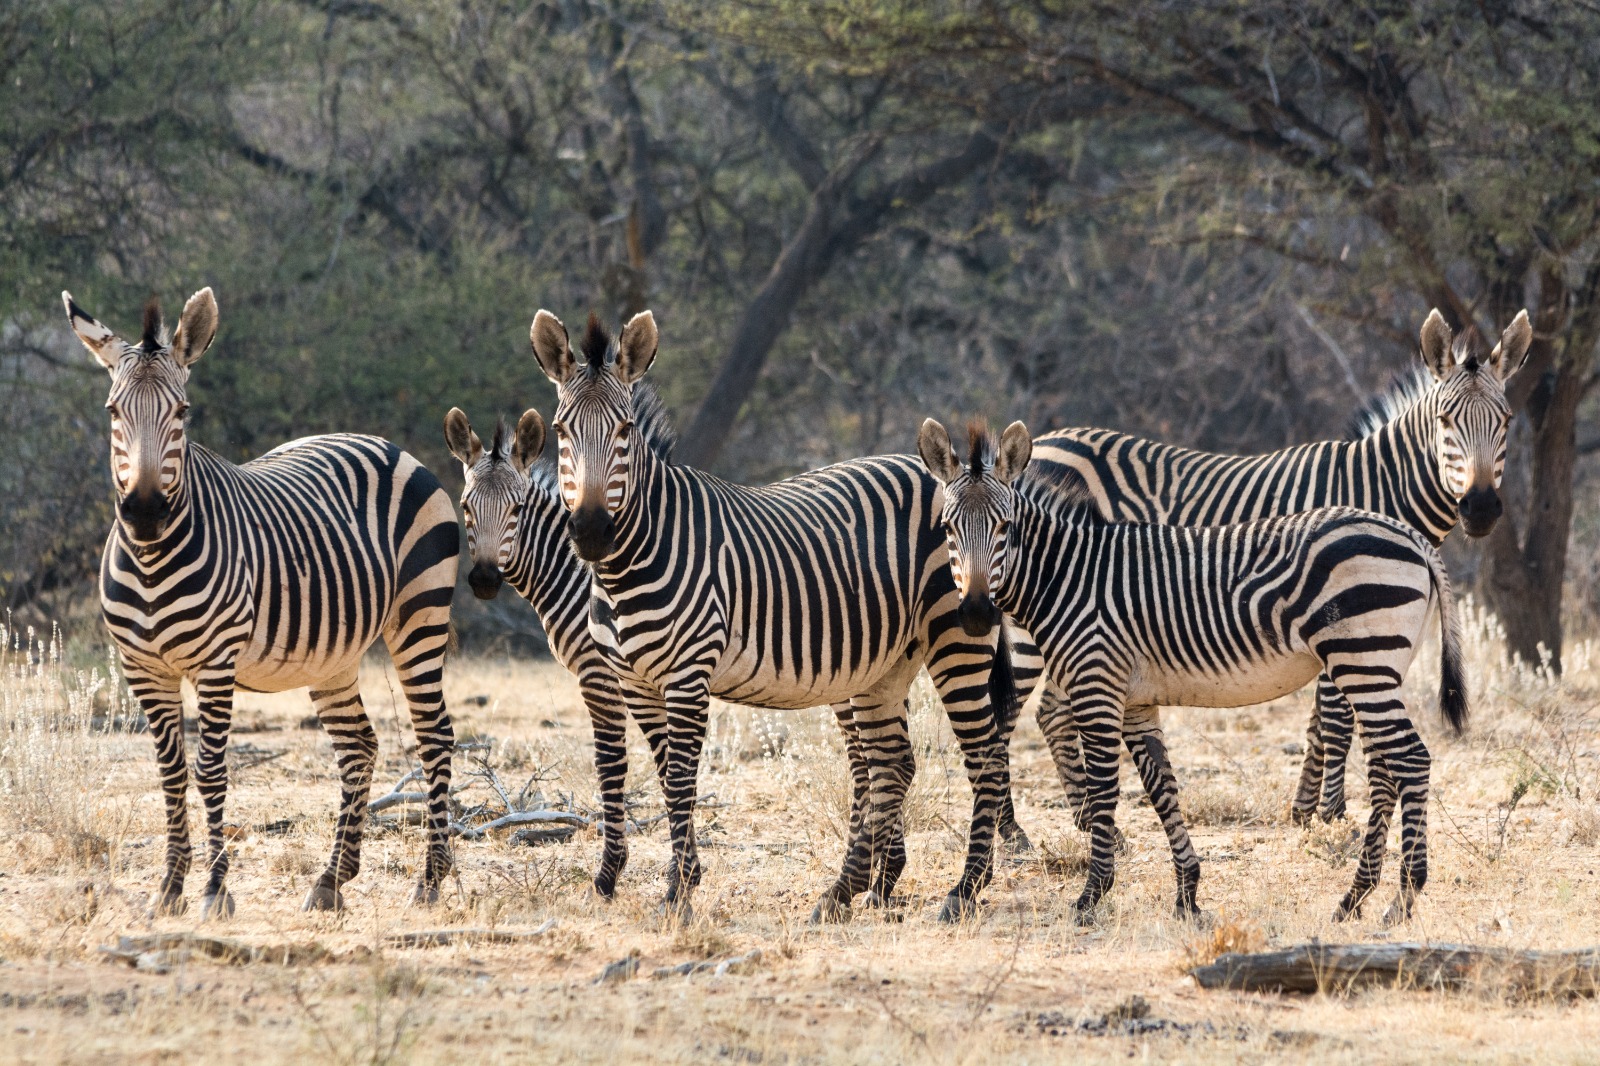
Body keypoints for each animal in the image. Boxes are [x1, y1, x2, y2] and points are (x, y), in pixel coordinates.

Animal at [66, 288, 459, 918]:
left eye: (182, 413)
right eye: (112, 412)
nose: (146, 512)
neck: (152, 561)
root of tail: (387, 445)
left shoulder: (215, 664)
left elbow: (210, 771)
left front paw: (214, 891)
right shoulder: (142, 668)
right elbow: (171, 772)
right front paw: (169, 890)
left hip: (420, 616)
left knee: (434, 734)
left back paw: (429, 879)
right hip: (333, 654)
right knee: (359, 746)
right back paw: (331, 879)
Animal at [443, 402, 915, 906]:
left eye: (516, 509)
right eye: (466, 506)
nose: (484, 581)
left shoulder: (600, 674)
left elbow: (614, 765)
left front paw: (613, 874)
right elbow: (662, 768)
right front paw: (681, 872)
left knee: (872, 764)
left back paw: (872, 876)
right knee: (874, 762)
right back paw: (882, 876)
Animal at [530, 309, 1017, 922]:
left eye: (625, 431)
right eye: (561, 430)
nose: (593, 531)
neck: (628, 566)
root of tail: (951, 475)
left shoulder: (687, 676)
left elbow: (681, 778)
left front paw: (677, 891)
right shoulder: (633, 681)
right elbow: (663, 774)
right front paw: (675, 879)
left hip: (959, 638)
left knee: (986, 757)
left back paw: (964, 888)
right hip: (884, 665)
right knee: (893, 763)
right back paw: (854, 891)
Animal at [921, 417, 1467, 924]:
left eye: (1005, 528)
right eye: (946, 529)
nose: (975, 614)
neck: (1068, 576)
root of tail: (1411, 536)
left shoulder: (1099, 687)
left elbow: (1105, 790)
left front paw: (1091, 896)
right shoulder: (1137, 700)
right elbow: (1162, 790)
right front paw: (1187, 894)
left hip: (1363, 661)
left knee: (1411, 760)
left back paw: (1401, 897)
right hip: (1378, 667)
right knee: (1388, 770)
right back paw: (1357, 898)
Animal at [1014, 308, 1528, 828]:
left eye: (1506, 421)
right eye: (1446, 420)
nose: (1481, 508)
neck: (1380, 485)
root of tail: (1042, 440)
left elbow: (1323, 719)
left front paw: (1308, 807)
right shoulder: (1337, 613)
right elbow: (1335, 716)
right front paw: (1327, 811)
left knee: (1050, 712)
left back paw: (1082, 819)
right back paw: (1020, 833)